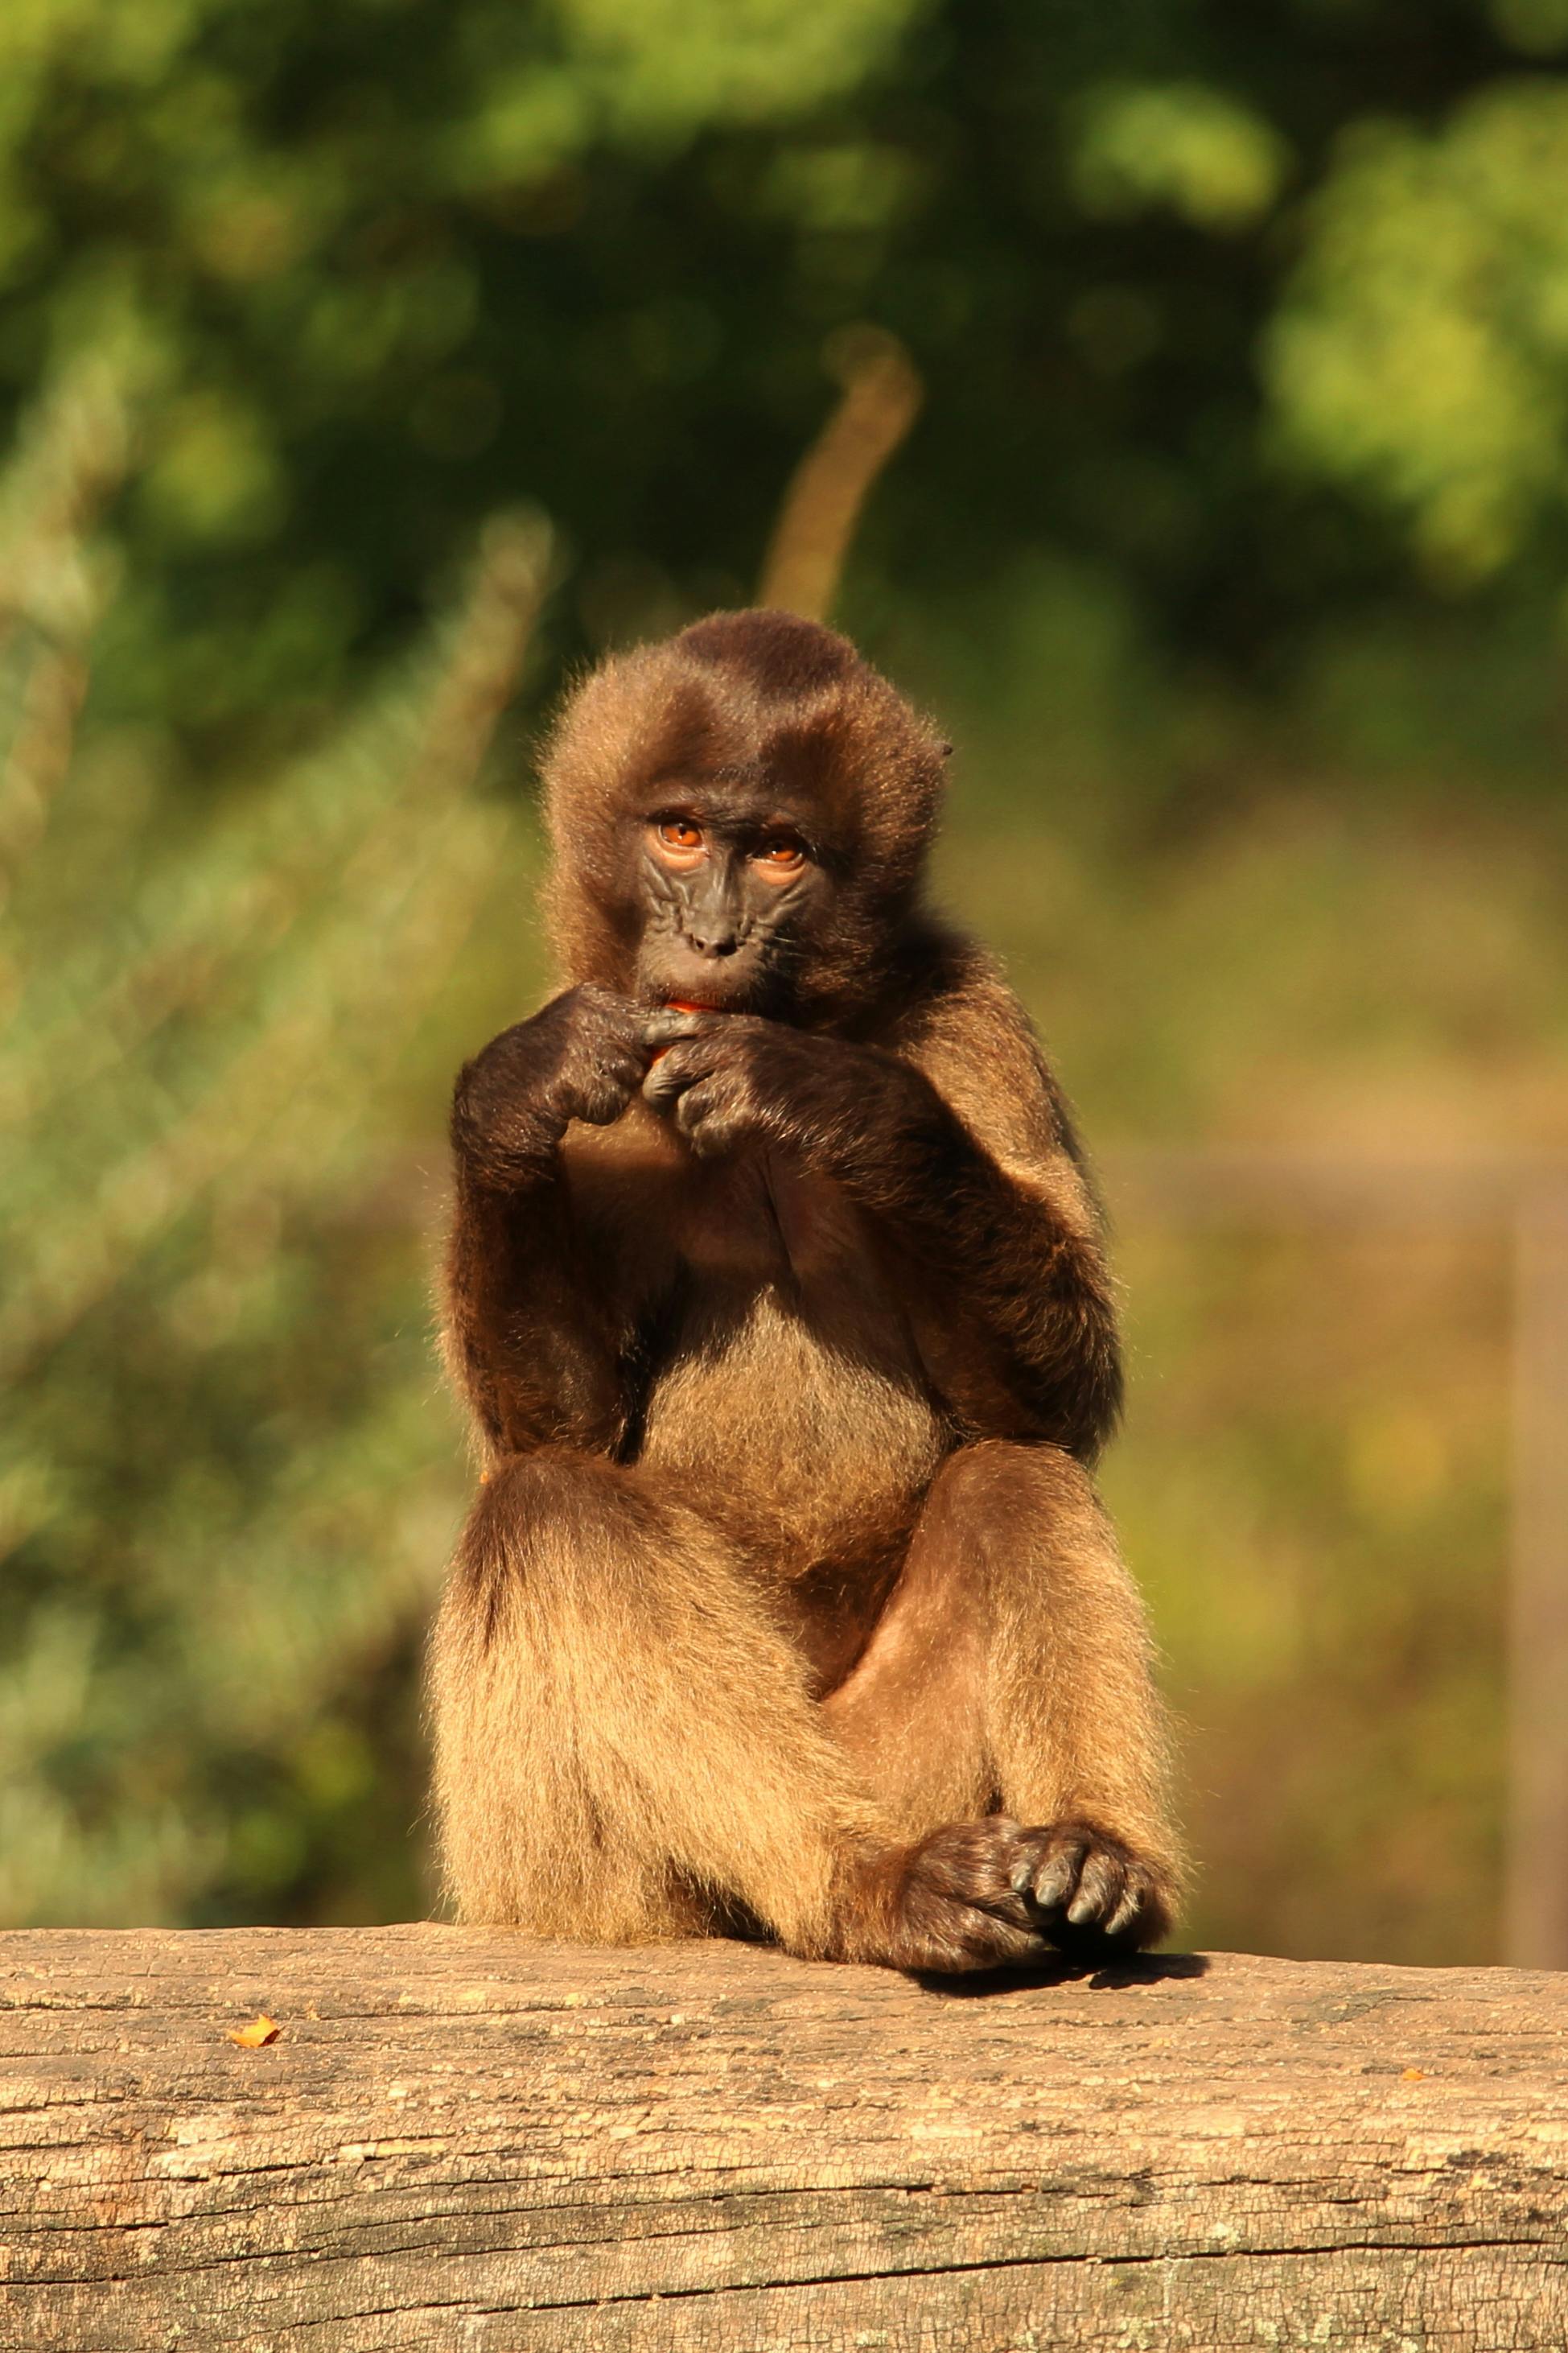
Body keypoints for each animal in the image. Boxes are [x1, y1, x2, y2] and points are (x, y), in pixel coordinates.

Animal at [429, 608, 1184, 1974]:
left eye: (780, 853)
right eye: (680, 834)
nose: (713, 942)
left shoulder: (970, 1015)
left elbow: (1044, 1408)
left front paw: (843, 1108)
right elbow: (558, 1429)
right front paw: (511, 1103)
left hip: (901, 1762)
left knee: (1011, 1477)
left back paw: (1092, 1863)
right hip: (579, 1890)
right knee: (549, 1509)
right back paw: (865, 1886)